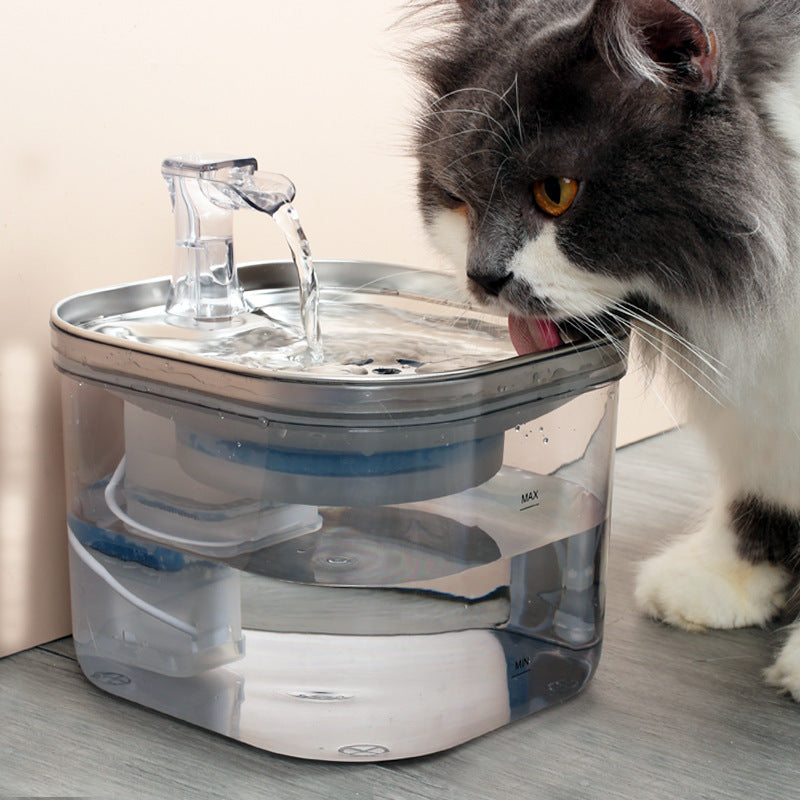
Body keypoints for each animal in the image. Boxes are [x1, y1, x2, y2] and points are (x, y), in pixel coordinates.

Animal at [410, 0, 800, 696]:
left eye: (556, 192)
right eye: (456, 199)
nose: (481, 278)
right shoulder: (758, 411)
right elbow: (759, 496)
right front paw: (716, 583)